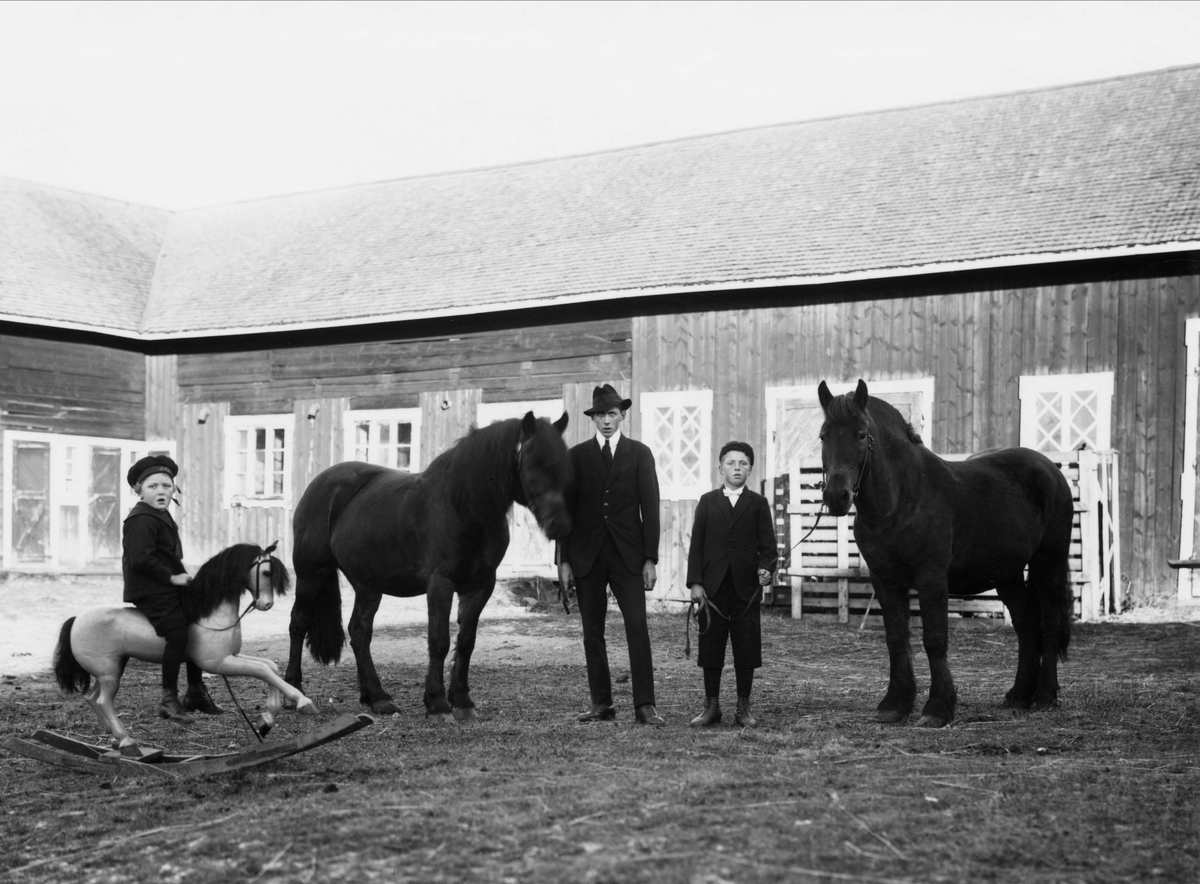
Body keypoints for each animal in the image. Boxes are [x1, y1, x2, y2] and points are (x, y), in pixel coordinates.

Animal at [54, 543, 318, 753]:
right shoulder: (220, 663)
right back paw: (127, 740)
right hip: (108, 674)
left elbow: (270, 667)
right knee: (102, 701)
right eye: (265, 572)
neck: (209, 612)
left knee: (91, 697)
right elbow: (263, 671)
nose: (266, 604)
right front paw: (302, 703)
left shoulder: (231, 656)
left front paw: (266, 720)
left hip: (111, 670)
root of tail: (76, 619)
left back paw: (113, 737)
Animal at [285, 411, 572, 720]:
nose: (560, 525)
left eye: (564, 461)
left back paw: (378, 698)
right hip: (310, 573)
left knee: (359, 631)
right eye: (532, 462)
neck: (464, 508)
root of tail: (321, 483)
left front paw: (463, 700)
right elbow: (439, 641)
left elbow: (466, 641)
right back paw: (294, 691)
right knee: (298, 623)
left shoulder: (481, 585)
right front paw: (437, 703)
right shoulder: (441, 583)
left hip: (368, 584)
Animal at [817, 379, 1075, 728]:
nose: (836, 496)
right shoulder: (885, 580)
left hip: (1049, 562)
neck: (900, 502)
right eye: (824, 436)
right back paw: (1018, 695)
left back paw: (1044, 697)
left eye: (860, 434)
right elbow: (895, 638)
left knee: (1048, 623)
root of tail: (1051, 470)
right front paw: (895, 704)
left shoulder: (931, 579)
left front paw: (937, 708)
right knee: (1025, 625)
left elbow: (934, 639)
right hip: (1007, 574)